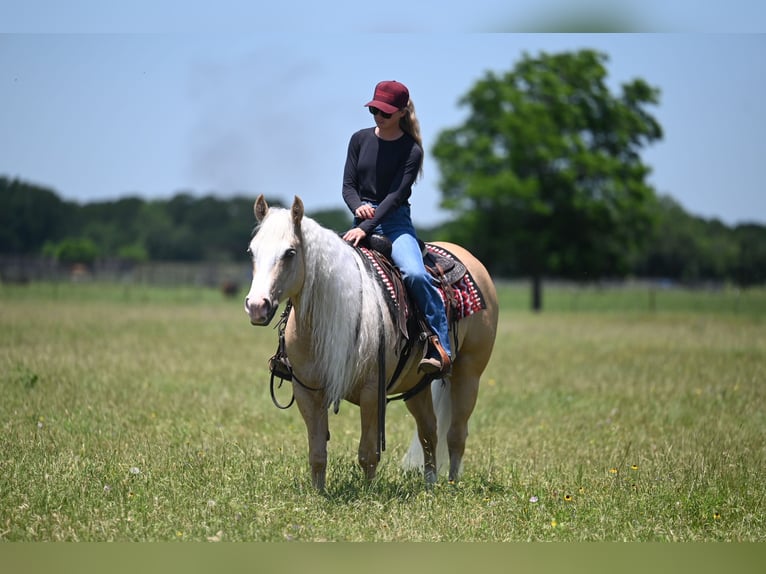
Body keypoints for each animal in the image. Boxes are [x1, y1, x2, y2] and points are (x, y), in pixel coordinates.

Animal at [244, 195, 498, 490]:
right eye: (251, 251)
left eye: (290, 253)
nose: (257, 306)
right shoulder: (307, 391)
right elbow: (317, 452)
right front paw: (318, 493)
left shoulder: (371, 392)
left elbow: (367, 453)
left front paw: (368, 492)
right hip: (416, 384)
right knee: (429, 431)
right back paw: (429, 484)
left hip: (468, 373)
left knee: (456, 433)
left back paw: (452, 483)